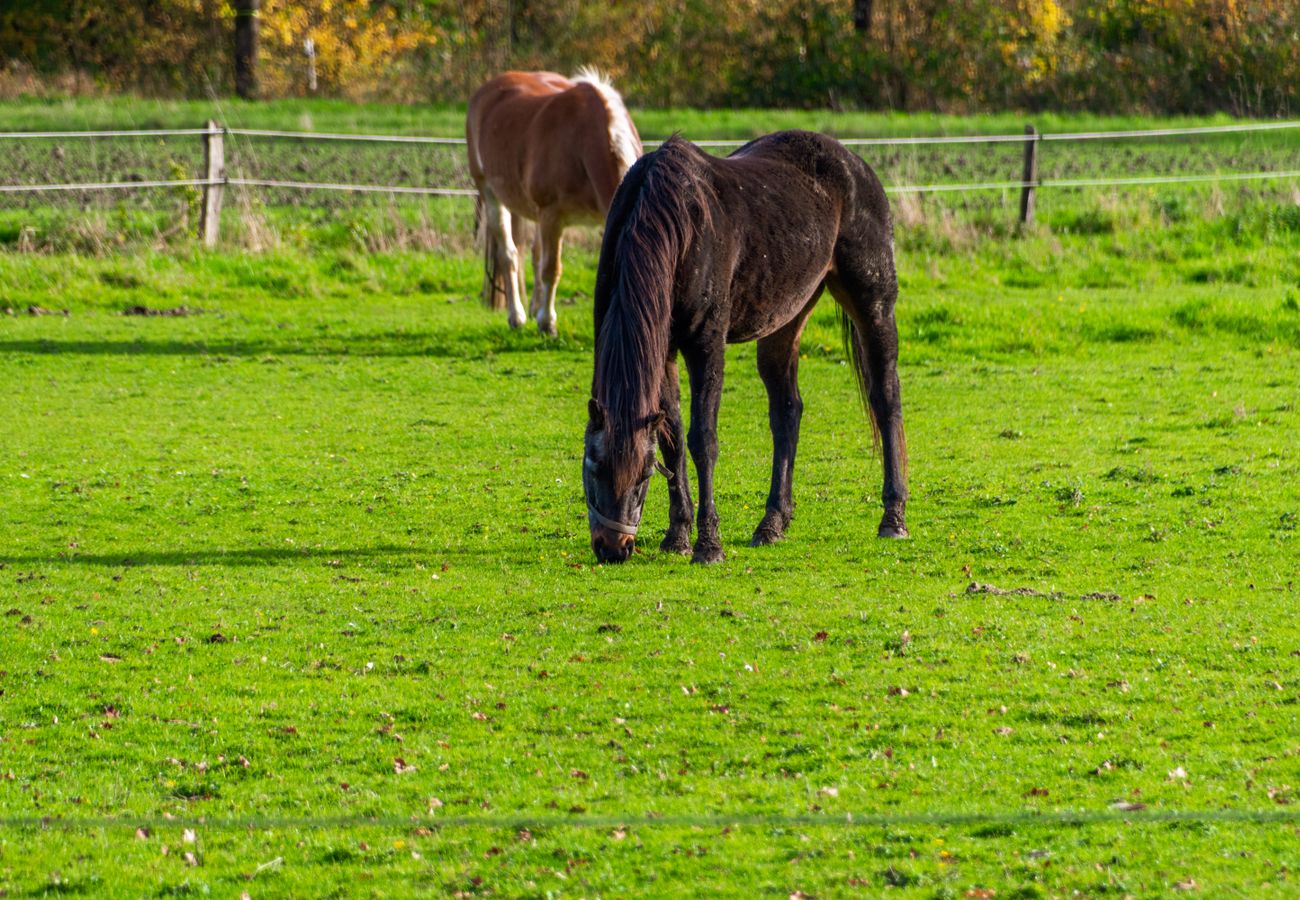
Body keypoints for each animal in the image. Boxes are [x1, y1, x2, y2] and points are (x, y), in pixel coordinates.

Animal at [466, 69, 642, 336]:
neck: (583, 143)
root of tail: (487, 89)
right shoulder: (552, 215)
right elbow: (551, 269)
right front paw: (547, 323)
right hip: (491, 193)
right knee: (509, 255)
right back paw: (517, 316)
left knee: (534, 253)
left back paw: (533, 308)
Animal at [581, 130, 908, 564]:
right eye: (593, 466)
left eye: (643, 476)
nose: (613, 548)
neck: (673, 223)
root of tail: (855, 163)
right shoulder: (663, 351)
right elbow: (671, 437)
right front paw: (677, 536)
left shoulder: (705, 345)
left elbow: (702, 440)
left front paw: (708, 545)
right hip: (786, 318)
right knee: (787, 412)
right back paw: (772, 523)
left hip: (874, 305)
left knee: (885, 399)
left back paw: (893, 516)